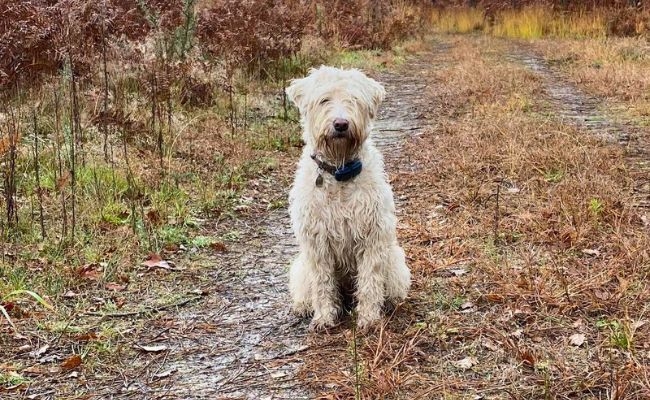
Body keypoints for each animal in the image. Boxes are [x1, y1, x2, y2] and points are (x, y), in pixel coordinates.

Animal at [284, 65, 408, 330]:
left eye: (355, 100)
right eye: (324, 100)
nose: (341, 124)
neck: (339, 173)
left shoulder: (372, 236)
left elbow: (370, 281)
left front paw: (369, 318)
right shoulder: (317, 243)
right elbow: (322, 283)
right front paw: (324, 317)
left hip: (394, 260)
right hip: (301, 266)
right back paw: (303, 307)